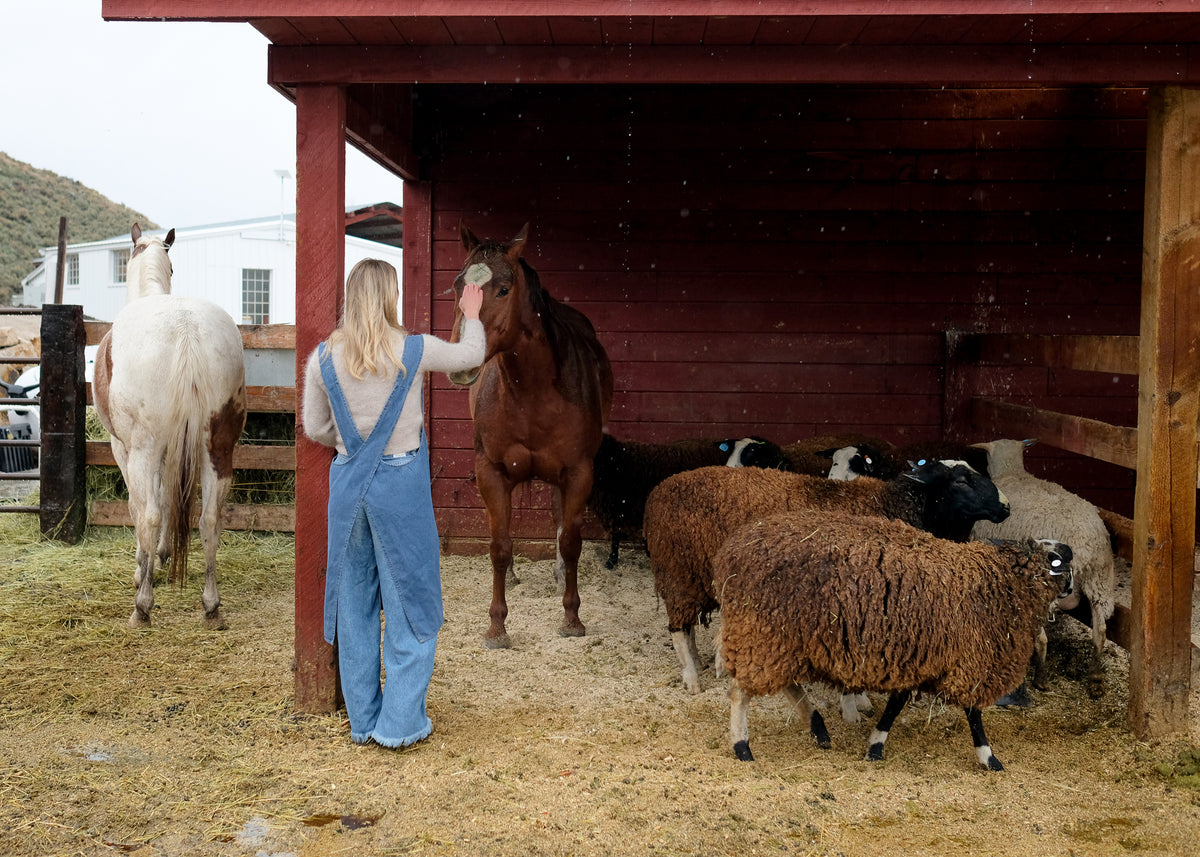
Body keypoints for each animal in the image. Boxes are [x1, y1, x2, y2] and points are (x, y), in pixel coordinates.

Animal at [94, 223, 248, 624]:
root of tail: (186, 329)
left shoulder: (124, 449)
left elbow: (142, 508)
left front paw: (142, 568)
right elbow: (167, 500)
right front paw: (162, 556)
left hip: (144, 449)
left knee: (147, 514)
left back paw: (142, 607)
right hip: (217, 448)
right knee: (210, 519)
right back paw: (211, 604)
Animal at [448, 223, 614, 643]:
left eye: (503, 289)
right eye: (457, 286)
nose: (460, 360)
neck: (534, 392)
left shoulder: (579, 472)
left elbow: (570, 542)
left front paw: (572, 619)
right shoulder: (491, 471)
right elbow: (499, 546)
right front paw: (496, 627)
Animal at [643, 460, 1008, 696]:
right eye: (961, 480)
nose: (1005, 505)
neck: (892, 505)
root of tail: (657, 493)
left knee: (687, 626)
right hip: (678, 570)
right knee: (678, 628)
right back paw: (693, 680)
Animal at [964, 436, 1113, 696]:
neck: (1012, 471)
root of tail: (1082, 544)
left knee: (1042, 639)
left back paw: (1040, 678)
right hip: (1100, 583)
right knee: (1100, 632)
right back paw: (1095, 677)